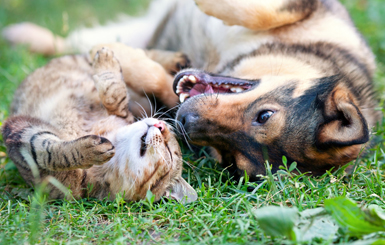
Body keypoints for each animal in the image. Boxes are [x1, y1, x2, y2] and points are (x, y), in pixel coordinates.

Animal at [2, 0, 380, 180]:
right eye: (265, 115)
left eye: (231, 159)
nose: (183, 123)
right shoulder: (309, 7)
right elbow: (261, 10)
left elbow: (156, 79)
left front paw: (123, 57)